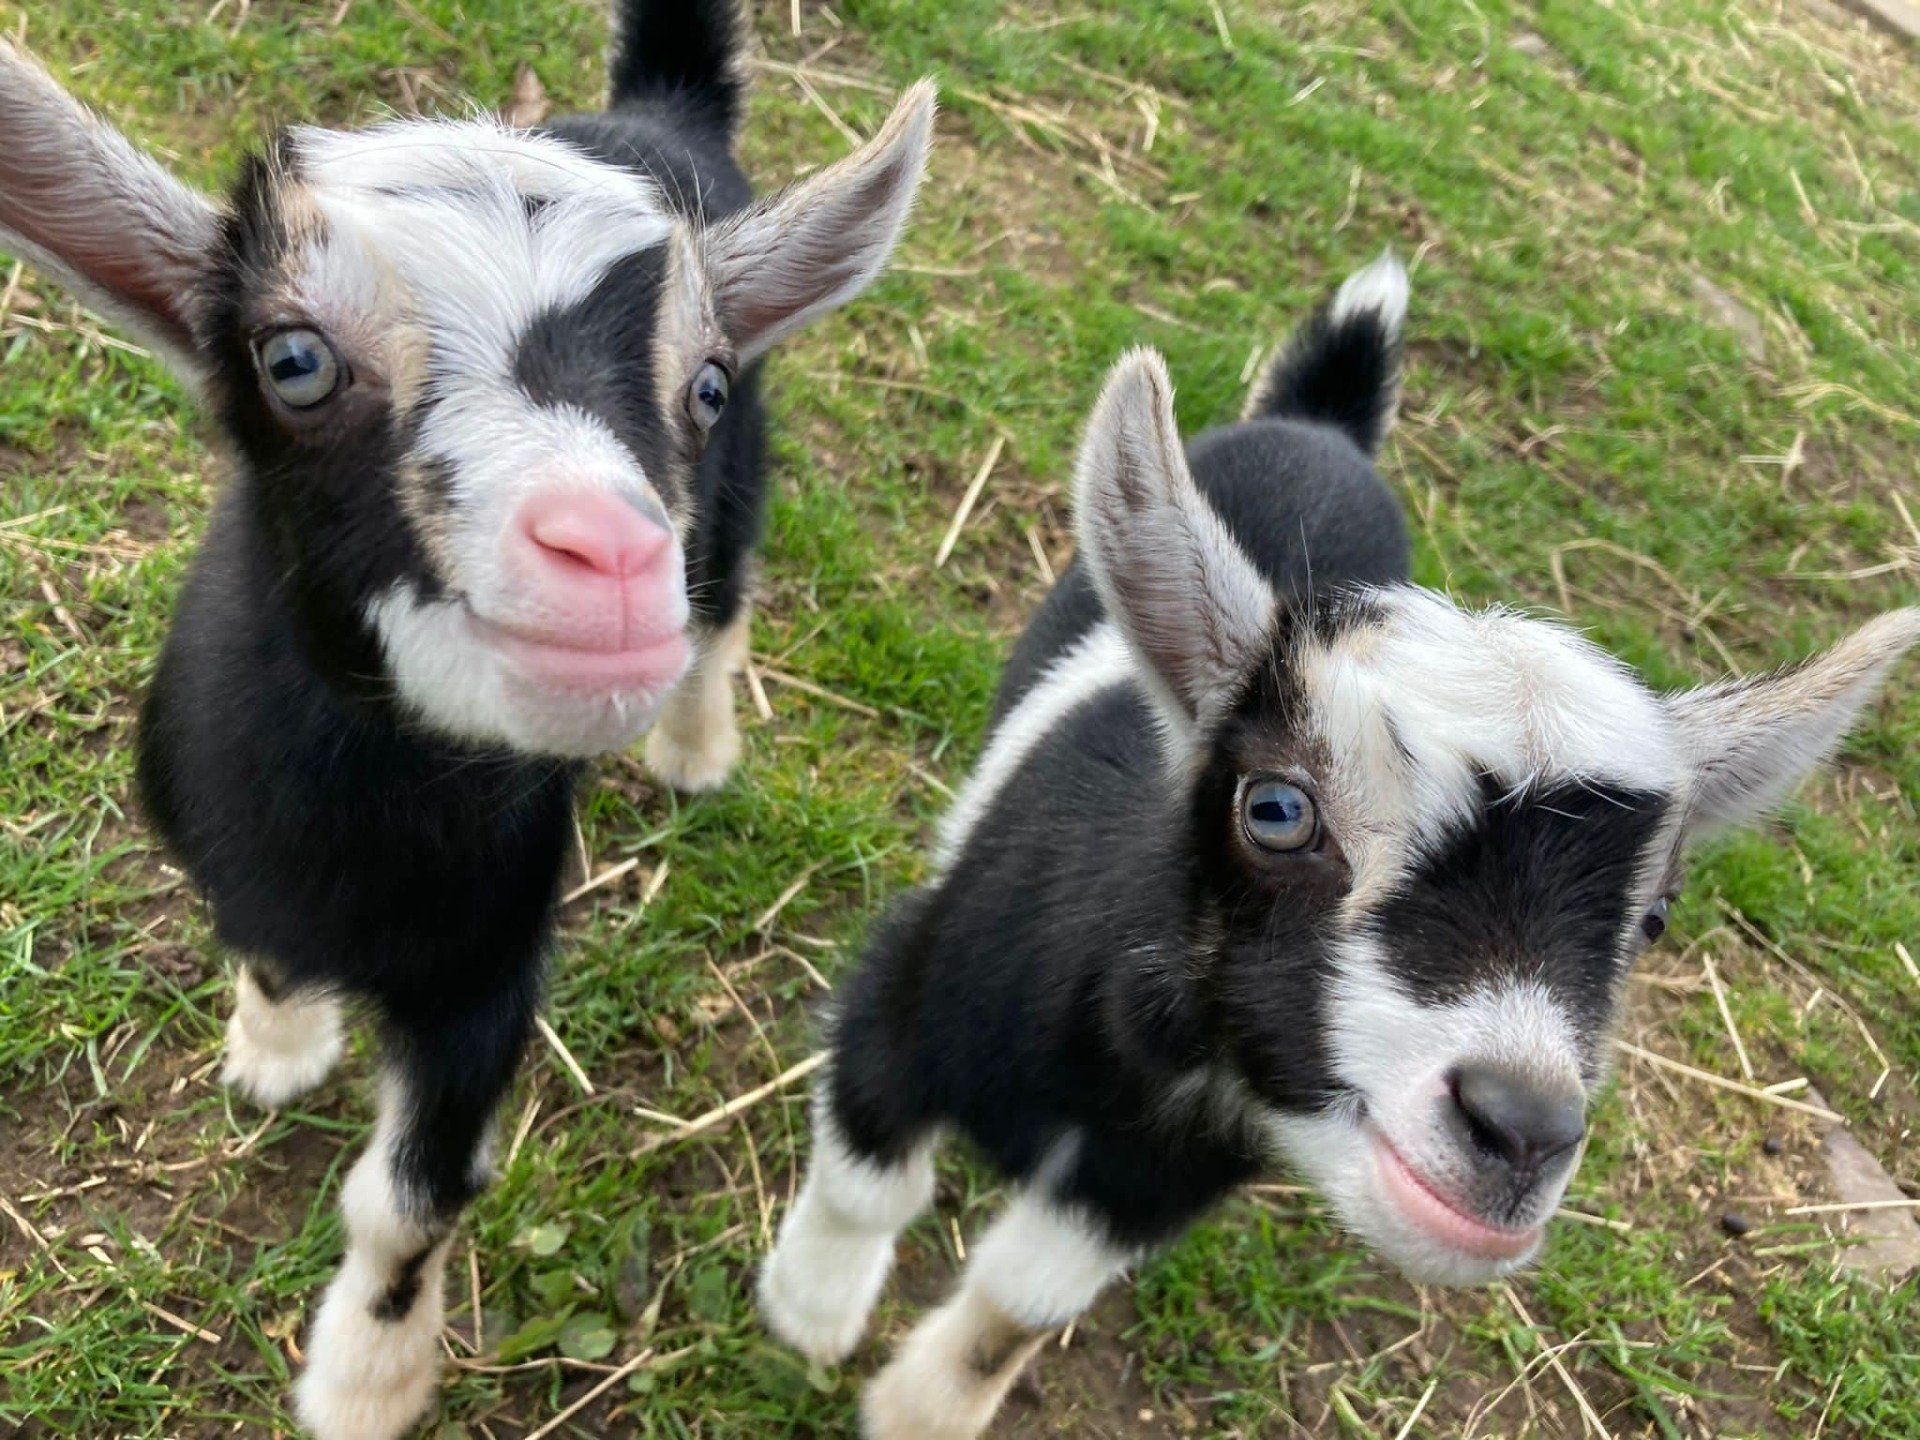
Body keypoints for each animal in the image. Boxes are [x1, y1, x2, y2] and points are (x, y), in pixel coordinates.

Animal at [0, 6, 932, 1436]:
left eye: (705, 384)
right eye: (292, 361)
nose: (613, 559)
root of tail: (657, 111)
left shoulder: (490, 965)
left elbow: (409, 1201)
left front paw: (367, 1380)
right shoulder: (228, 861)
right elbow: (268, 954)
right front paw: (277, 1047)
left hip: (734, 513)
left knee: (727, 602)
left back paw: (695, 744)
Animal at [758, 255, 1920, 1440]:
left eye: (1654, 916)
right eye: (1276, 809)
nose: (1521, 1131)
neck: (1118, 1066)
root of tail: (1326, 430)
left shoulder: (1153, 1179)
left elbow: (1019, 1303)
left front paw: (922, 1408)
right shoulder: (909, 994)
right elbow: (866, 1180)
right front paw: (811, 1316)